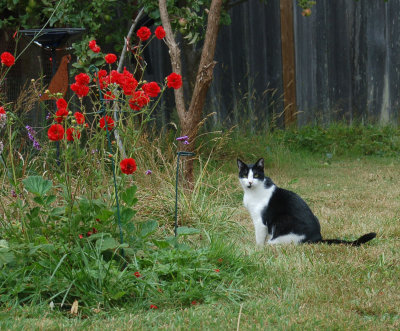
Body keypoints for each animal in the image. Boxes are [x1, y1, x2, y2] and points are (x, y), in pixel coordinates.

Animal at [239, 158, 376, 246]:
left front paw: (258, 250)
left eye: (256, 175)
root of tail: (317, 238)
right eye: (245, 175)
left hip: (282, 221)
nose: (250, 182)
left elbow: (259, 238)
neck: (252, 192)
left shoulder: (260, 221)